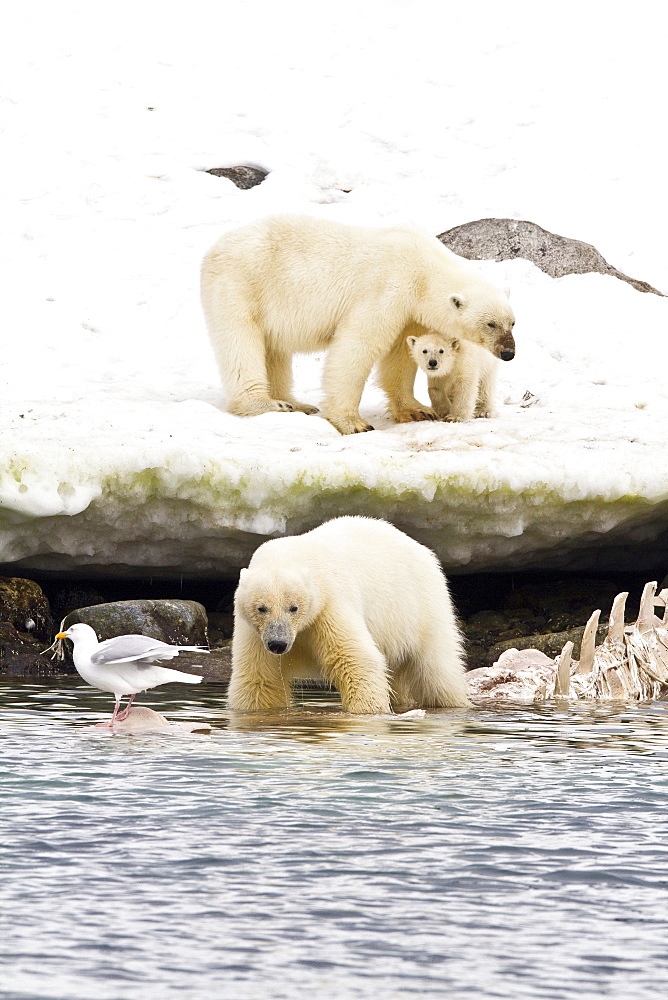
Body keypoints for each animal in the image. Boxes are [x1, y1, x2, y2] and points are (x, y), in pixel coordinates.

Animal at [201, 215, 516, 434]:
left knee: (275, 350)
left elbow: (400, 356)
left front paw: (417, 410)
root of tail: (216, 246)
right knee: (241, 344)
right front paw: (353, 422)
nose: (509, 353)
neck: (423, 266)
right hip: (240, 285)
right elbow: (358, 345)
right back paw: (267, 404)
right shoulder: (387, 288)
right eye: (491, 324)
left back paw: (297, 404)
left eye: (512, 322)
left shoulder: (410, 311)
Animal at [227, 520, 468, 716]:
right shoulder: (253, 631)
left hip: (421, 605)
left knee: (437, 670)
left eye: (293, 607)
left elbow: (355, 659)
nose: (278, 643)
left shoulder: (331, 604)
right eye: (261, 608)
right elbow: (259, 677)